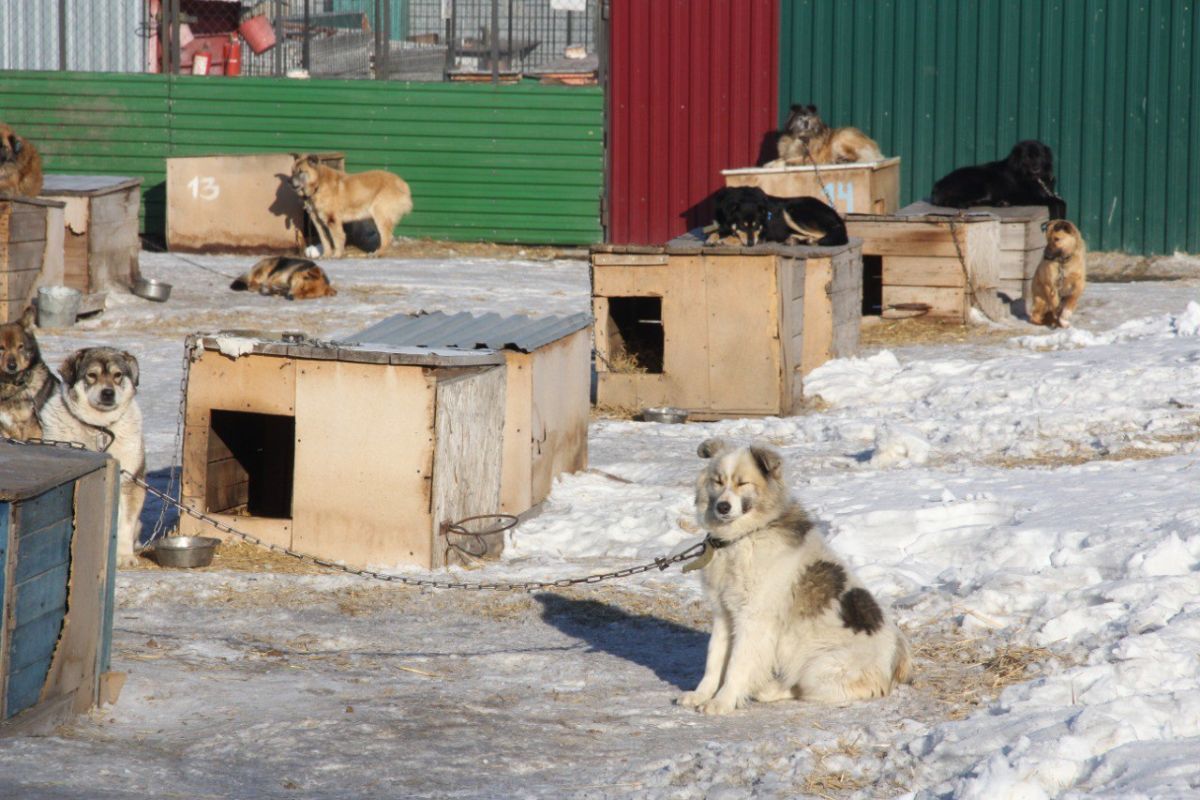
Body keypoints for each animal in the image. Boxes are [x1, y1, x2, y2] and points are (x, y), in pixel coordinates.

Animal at [705, 187, 849, 247]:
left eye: (757, 225)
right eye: (742, 225)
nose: (751, 244)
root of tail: (836, 215)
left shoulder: (761, 236)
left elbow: (735, 238)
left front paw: (725, 240)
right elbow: (716, 232)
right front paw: (712, 238)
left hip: (792, 210)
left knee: (821, 234)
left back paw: (807, 240)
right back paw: (794, 240)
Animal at [926, 137, 1070, 219]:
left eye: (1039, 156)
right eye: (1027, 158)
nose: (1036, 168)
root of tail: (937, 184)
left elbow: (1060, 201)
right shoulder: (1028, 196)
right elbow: (1058, 202)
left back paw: (1001, 202)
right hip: (979, 184)